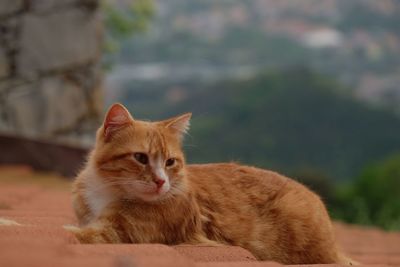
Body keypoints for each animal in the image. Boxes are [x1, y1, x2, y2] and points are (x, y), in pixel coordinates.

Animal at [70, 103, 354, 266]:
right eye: (140, 158)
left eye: (170, 162)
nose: (161, 181)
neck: (107, 190)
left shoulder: (118, 233)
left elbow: (79, 234)